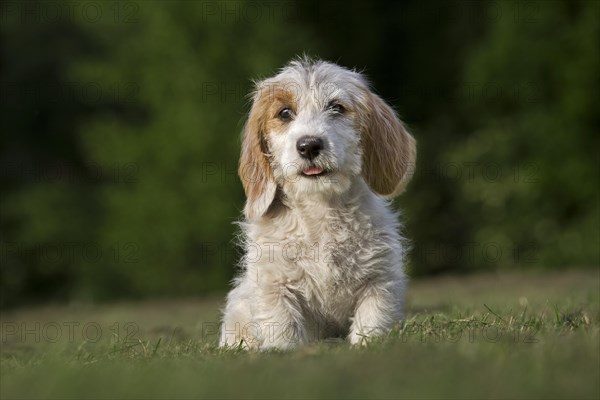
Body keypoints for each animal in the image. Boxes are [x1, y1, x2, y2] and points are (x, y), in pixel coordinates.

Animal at [218, 57, 414, 348]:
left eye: (336, 107)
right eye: (284, 113)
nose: (309, 145)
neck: (321, 209)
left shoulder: (380, 281)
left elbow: (372, 321)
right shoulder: (274, 286)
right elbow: (283, 329)